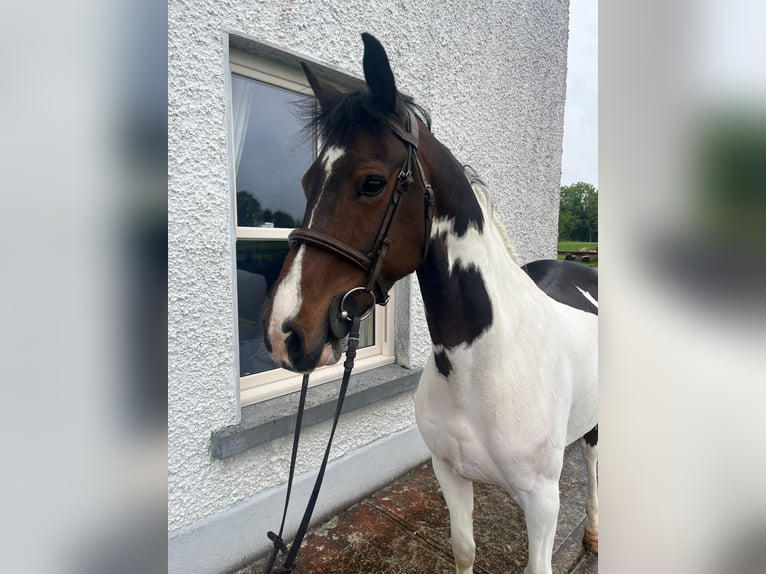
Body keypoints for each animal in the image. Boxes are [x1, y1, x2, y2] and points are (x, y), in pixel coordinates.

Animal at [263, 33, 598, 574]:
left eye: (372, 182)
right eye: (307, 183)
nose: (283, 332)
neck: (486, 361)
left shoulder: (544, 502)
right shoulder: (449, 473)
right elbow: (464, 549)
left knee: (591, 465)